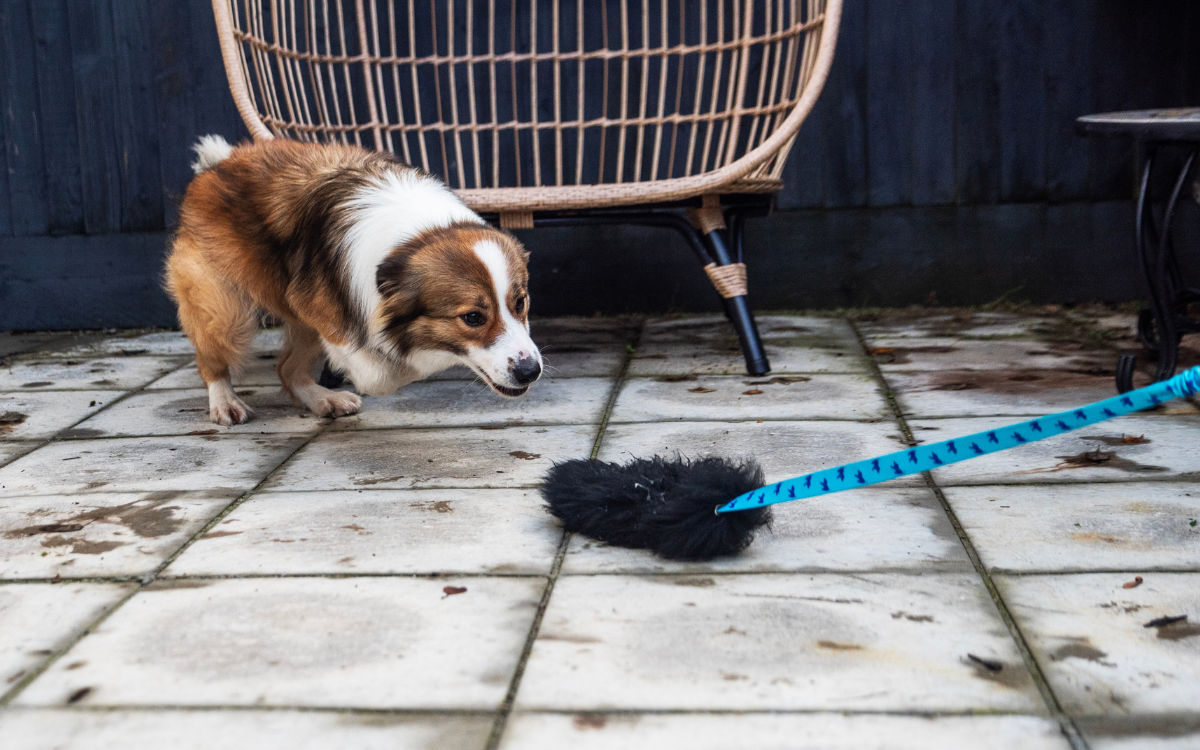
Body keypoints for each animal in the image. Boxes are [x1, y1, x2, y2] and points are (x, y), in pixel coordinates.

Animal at [166, 135, 542, 424]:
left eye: (520, 302)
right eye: (473, 318)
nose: (530, 371)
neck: (419, 234)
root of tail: (218, 163)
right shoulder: (333, 316)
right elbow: (378, 374)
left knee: (287, 369)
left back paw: (321, 399)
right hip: (229, 313)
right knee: (213, 355)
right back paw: (225, 401)